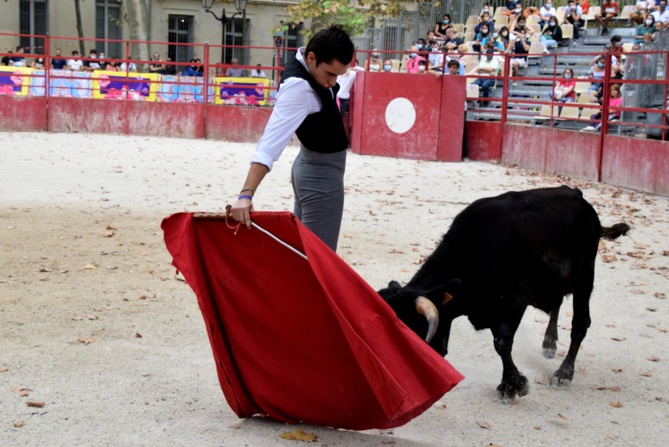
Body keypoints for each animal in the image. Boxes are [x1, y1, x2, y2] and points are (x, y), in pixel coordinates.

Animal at [378, 186, 628, 402]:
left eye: (410, 335)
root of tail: (579, 197)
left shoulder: (516, 299)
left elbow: (501, 341)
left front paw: (514, 385)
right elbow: (500, 343)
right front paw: (509, 384)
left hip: (585, 277)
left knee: (580, 323)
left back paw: (564, 373)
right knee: (556, 303)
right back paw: (549, 343)